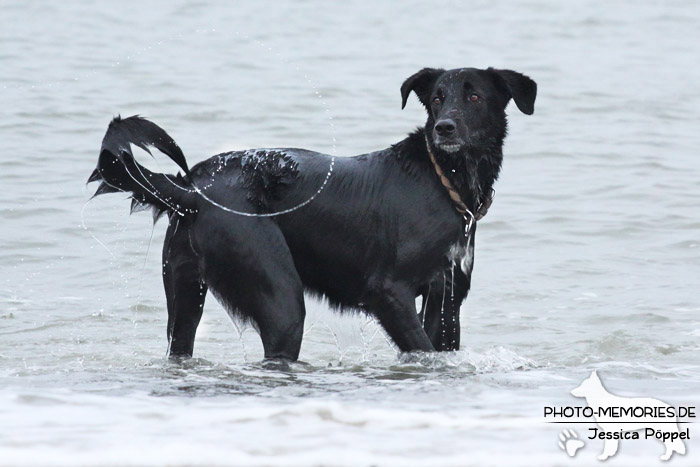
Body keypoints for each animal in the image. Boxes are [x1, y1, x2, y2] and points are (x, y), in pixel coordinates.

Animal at [87, 66, 536, 362]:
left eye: (474, 97)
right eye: (438, 97)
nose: (444, 128)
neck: (443, 181)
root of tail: (192, 188)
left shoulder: (448, 300)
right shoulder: (388, 293)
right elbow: (421, 350)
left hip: (184, 294)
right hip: (279, 295)